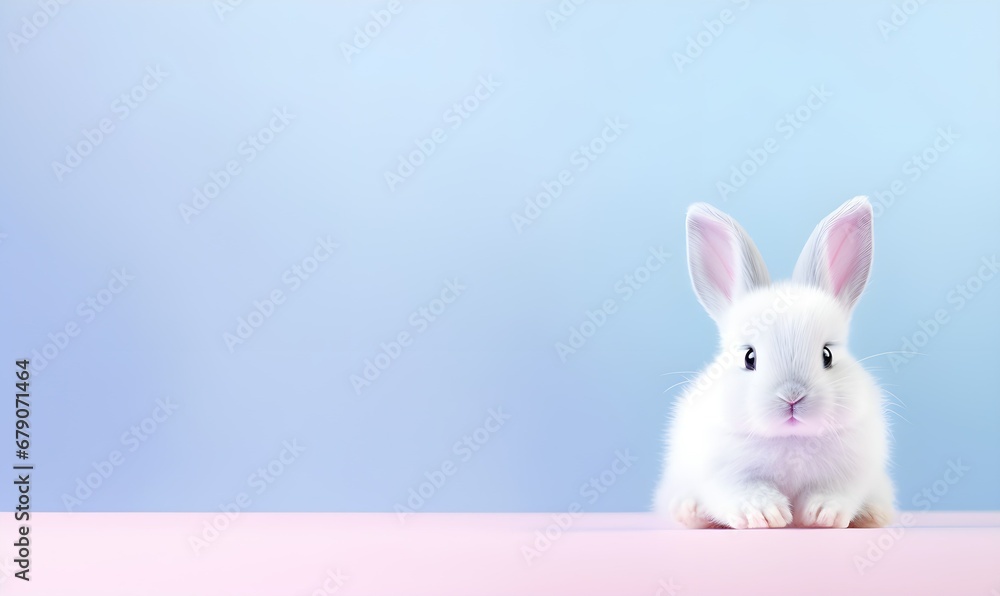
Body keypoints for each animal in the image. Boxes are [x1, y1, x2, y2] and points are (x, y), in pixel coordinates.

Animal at [653, 196, 895, 529]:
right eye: (749, 357)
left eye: (827, 355)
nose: (792, 396)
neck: (789, 439)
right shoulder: (725, 477)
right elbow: (745, 493)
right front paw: (766, 515)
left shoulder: (848, 475)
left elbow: (833, 494)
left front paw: (822, 515)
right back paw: (690, 510)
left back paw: (873, 514)